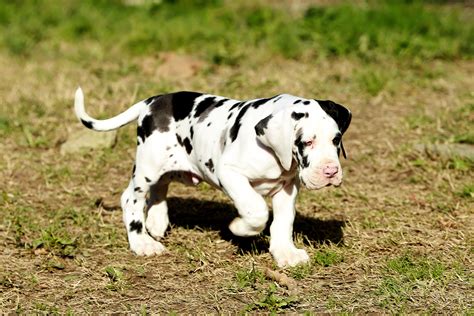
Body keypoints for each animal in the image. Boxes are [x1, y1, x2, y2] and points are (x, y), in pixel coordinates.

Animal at [73, 87, 348, 268]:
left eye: (336, 140)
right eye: (307, 142)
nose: (330, 172)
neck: (273, 151)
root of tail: (154, 100)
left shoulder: (287, 187)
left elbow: (283, 222)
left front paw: (285, 253)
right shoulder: (230, 172)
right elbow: (257, 210)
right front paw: (239, 228)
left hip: (171, 166)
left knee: (161, 186)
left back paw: (156, 221)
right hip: (148, 167)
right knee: (130, 199)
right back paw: (142, 242)